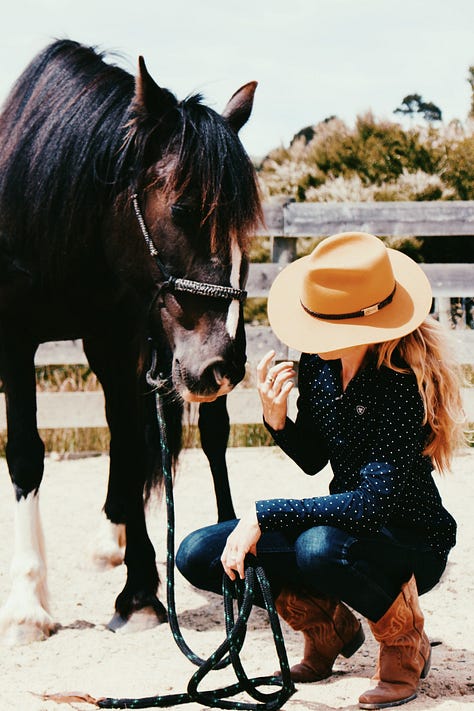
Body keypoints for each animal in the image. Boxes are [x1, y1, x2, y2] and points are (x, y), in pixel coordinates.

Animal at [0, 39, 262, 644]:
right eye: (183, 209)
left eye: (245, 225)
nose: (223, 365)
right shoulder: (16, 338)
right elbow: (25, 454)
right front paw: (27, 604)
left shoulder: (119, 337)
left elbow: (132, 443)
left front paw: (141, 593)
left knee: (204, 437)